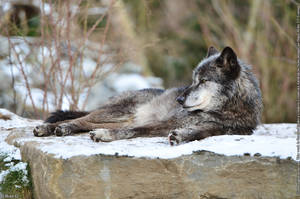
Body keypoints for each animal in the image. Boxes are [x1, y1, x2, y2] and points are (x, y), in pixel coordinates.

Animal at [33, 47, 262, 145]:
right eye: (193, 79)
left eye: (203, 81)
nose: (179, 100)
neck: (224, 111)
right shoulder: (163, 123)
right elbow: (134, 132)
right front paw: (106, 135)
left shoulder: (223, 130)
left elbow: (201, 133)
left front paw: (182, 135)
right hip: (116, 113)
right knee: (80, 119)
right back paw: (52, 128)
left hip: (120, 118)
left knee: (85, 123)